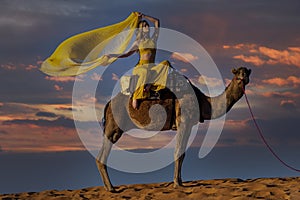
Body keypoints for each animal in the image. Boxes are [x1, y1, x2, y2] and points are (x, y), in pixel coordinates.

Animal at [95, 66, 251, 191]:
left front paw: (180, 182)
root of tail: (108, 103)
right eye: (237, 73)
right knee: (102, 155)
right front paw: (176, 183)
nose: (244, 77)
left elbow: (182, 154)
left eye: (246, 72)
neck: (203, 101)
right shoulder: (184, 121)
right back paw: (111, 188)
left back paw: (109, 187)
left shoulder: (189, 125)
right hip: (114, 126)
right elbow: (178, 153)